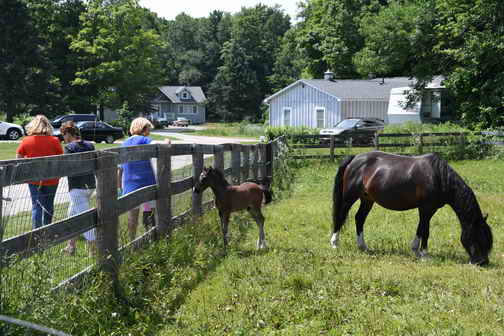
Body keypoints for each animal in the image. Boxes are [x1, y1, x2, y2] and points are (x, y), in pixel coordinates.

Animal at [332, 150, 494, 266]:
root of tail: (355, 158)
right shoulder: (426, 209)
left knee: (359, 218)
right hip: (349, 198)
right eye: (478, 236)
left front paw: (415, 250)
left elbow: (420, 229)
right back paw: (334, 243)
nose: (482, 262)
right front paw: (424, 255)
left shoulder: (428, 210)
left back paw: (363, 247)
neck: (438, 176)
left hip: (367, 199)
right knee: (340, 216)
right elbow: (425, 230)